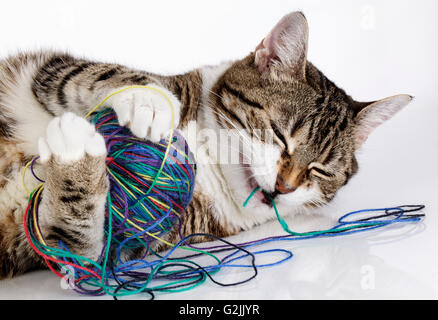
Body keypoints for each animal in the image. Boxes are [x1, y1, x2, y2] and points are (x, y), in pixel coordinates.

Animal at [0, 11, 410, 278]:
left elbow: (78, 240)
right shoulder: (43, 70)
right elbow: (93, 71)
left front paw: (75, 145)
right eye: (279, 133)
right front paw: (149, 101)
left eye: (320, 170)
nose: (284, 186)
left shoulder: (117, 242)